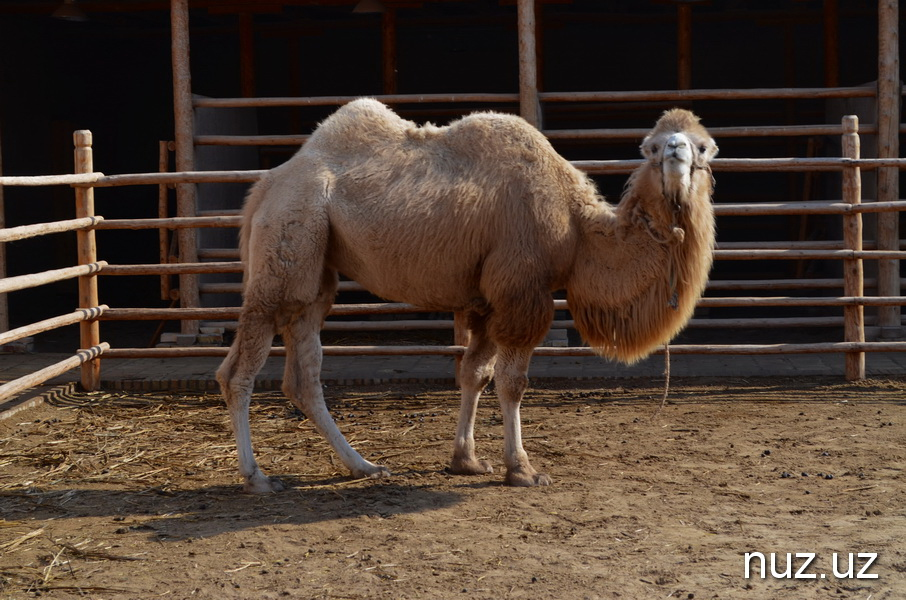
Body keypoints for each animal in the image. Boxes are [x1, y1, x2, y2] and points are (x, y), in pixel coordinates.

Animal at [215, 99, 716, 492]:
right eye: (652, 147)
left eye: (704, 146)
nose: (676, 151)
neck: (576, 226)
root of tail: (266, 187)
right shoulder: (520, 288)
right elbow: (513, 382)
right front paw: (523, 470)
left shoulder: (488, 298)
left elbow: (475, 374)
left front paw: (467, 461)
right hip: (289, 236)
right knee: (239, 370)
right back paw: (257, 478)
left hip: (314, 269)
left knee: (303, 368)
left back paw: (364, 466)